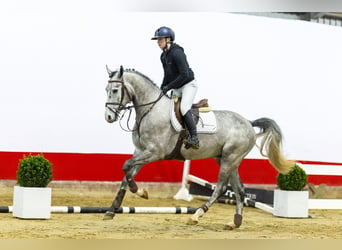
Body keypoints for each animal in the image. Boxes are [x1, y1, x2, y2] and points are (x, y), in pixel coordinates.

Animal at [104, 65, 294, 229]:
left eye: (115, 90)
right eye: (106, 89)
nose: (108, 117)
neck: (150, 110)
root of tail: (248, 122)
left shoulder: (155, 152)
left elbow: (126, 166)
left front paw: (140, 191)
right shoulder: (141, 151)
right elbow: (126, 174)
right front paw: (112, 209)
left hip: (229, 159)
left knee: (221, 188)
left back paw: (196, 215)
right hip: (227, 160)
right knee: (239, 189)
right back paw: (235, 222)